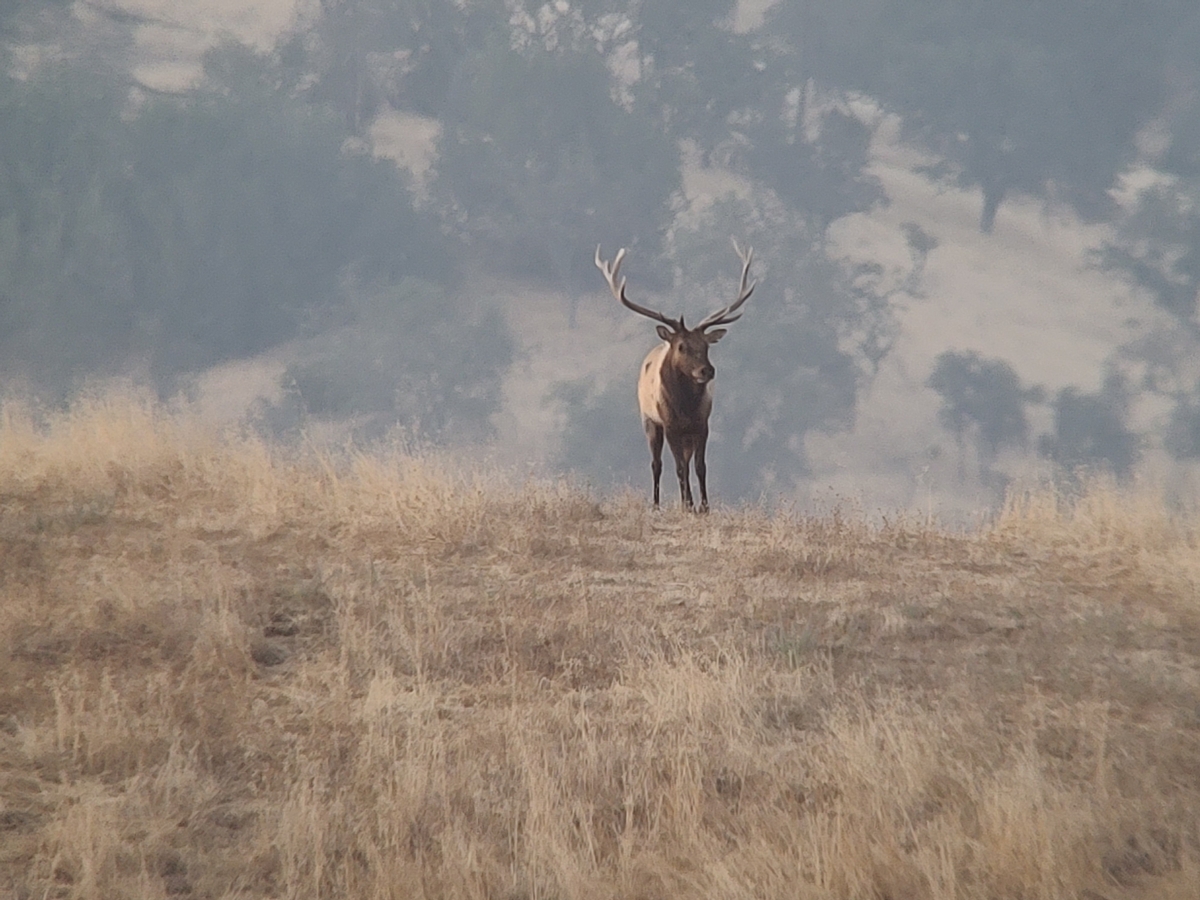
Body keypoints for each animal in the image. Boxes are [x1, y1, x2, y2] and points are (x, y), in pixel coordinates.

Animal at [595, 241, 755, 513]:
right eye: (681, 346)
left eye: (706, 346)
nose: (707, 370)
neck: (686, 406)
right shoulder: (669, 424)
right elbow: (678, 468)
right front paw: (688, 505)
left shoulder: (702, 423)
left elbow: (700, 467)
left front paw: (704, 507)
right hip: (649, 421)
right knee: (657, 464)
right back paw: (656, 504)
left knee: (686, 463)